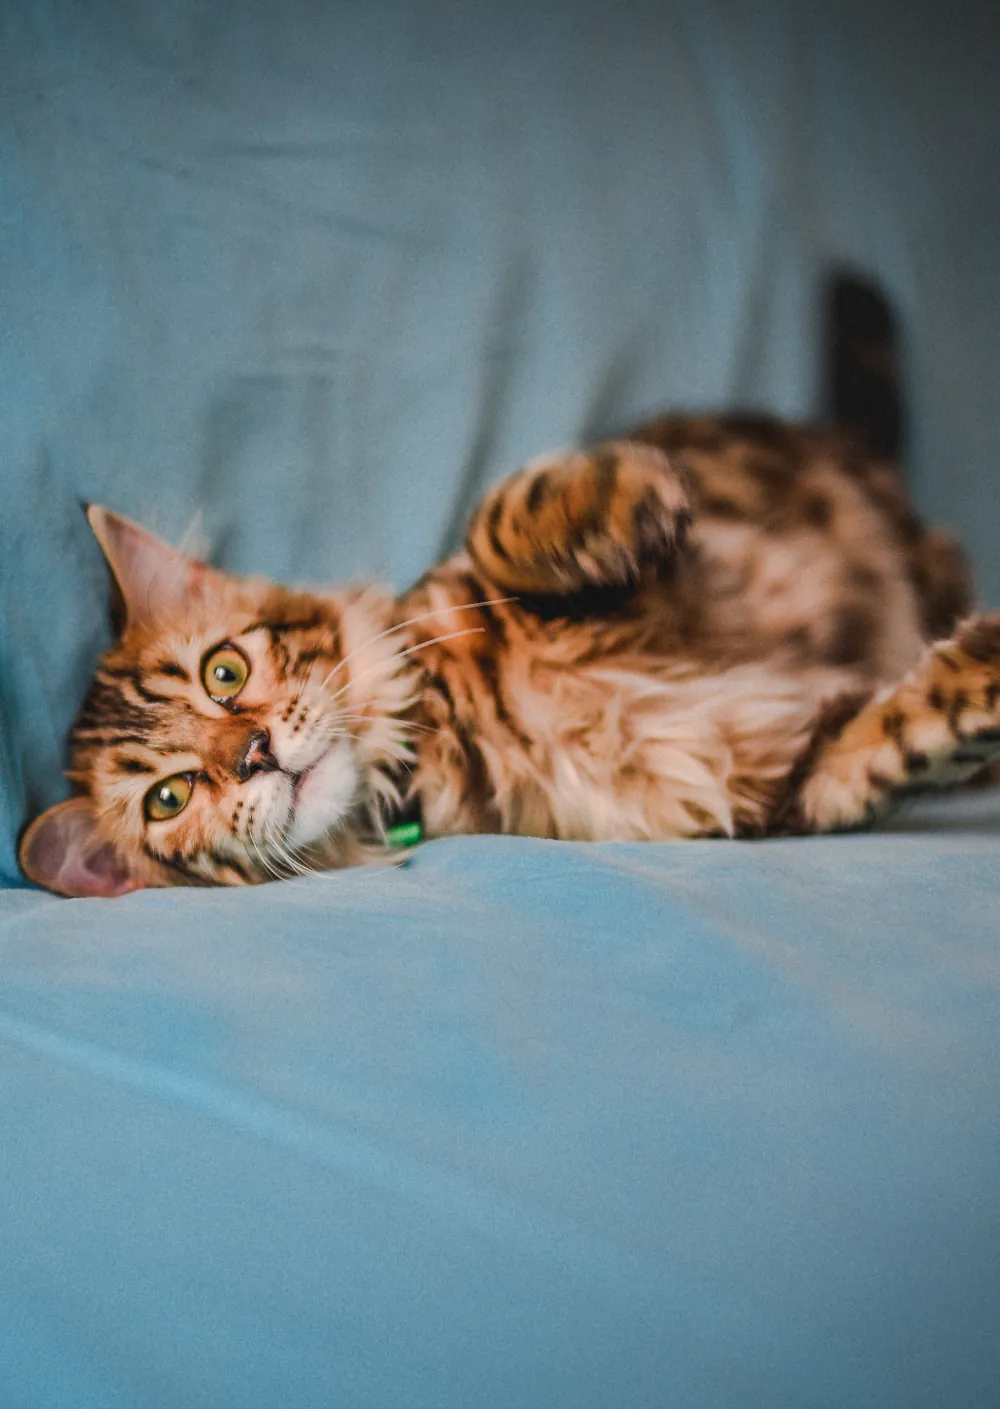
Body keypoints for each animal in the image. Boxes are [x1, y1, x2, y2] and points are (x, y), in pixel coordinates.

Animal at [15, 408, 1000, 896]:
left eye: (224, 672)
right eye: (169, 797)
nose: (254, 750)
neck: (442, 745)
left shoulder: (702, 563)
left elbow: (497, 518)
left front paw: (621, 496)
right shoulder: (792, 787)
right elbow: (903, 736)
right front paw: (981, 670)